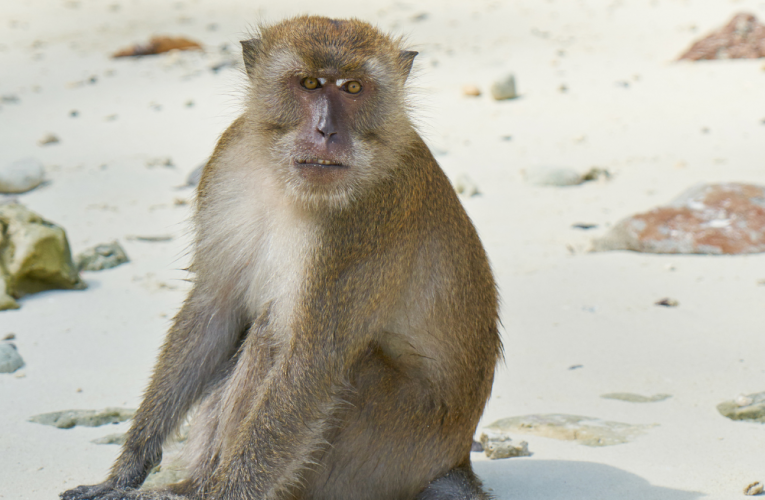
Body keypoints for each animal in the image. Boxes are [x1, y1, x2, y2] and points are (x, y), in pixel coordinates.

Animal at [61, 15, 502, 500]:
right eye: (309, 83)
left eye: (353, 88)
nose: (327, 131)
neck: (286, 183)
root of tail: (453, 460)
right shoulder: (227, 160)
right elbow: (215, 308)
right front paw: (125, 471)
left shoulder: (363, 221)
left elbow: (312, 363)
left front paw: (225, 495)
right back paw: (191, 485)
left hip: (389, 446)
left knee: (279, 334)